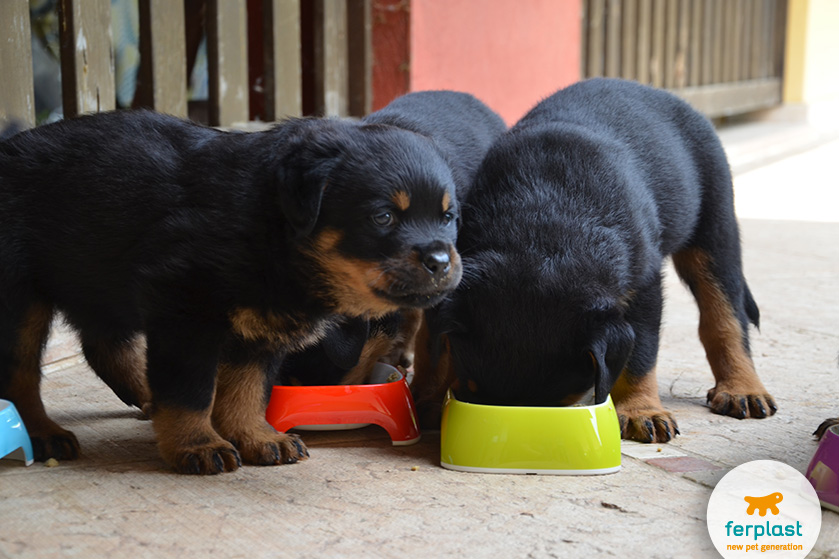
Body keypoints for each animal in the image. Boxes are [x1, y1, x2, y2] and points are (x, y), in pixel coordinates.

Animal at [0, 105, 466, 472]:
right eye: (383, 217)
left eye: (447, 217)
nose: (441, 262)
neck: (269, 226)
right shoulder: (185, 311)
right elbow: (190, 390)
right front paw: (197, 444)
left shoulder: (263, 325)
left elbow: (247, 388)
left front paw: (257, 437)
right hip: (21, 298)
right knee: (19, 372)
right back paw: (43, 433)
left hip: (97, 276)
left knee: (104, 345)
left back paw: (147, 398)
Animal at [424, 79, 776, 444]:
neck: (543, 226)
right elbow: (437, 348)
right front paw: (431, 400)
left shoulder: (645, 285)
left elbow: (640, 354)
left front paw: (640, 410)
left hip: (715, 224)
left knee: (724, 313)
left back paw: (742, 388)